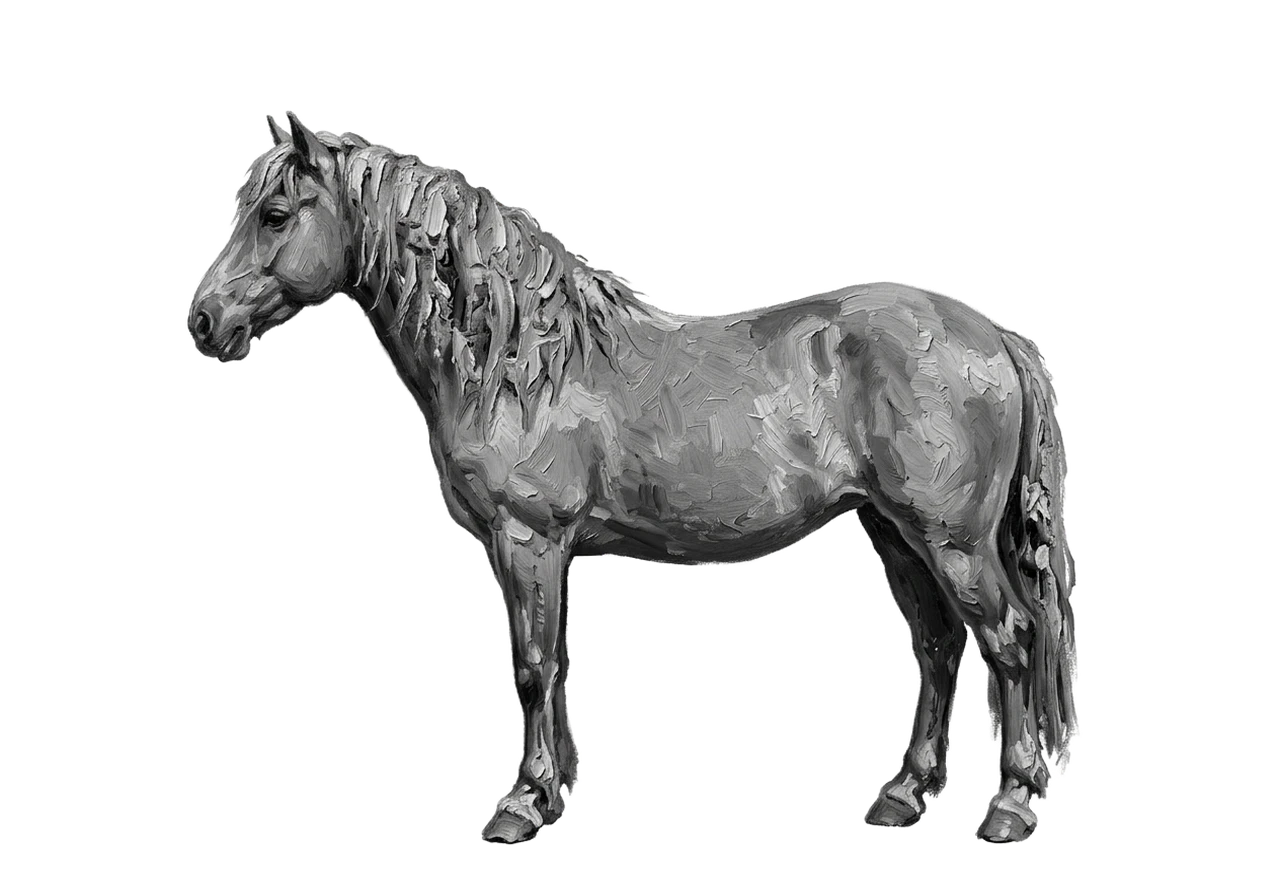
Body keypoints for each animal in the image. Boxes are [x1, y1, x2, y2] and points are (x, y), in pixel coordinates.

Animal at [186, 112, 1078, 844]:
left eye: (274, 214)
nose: (204, 320)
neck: (518, 363)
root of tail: (996, 338)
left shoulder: (529, 541)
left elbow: (532, 665)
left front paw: (521, 805)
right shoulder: (538, 553)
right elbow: (552, 663)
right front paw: (552, 793)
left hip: (950, 540)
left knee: (1011, 639)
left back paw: (1009, 806)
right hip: (894, 532)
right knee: (938, 646)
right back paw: (902, 796)